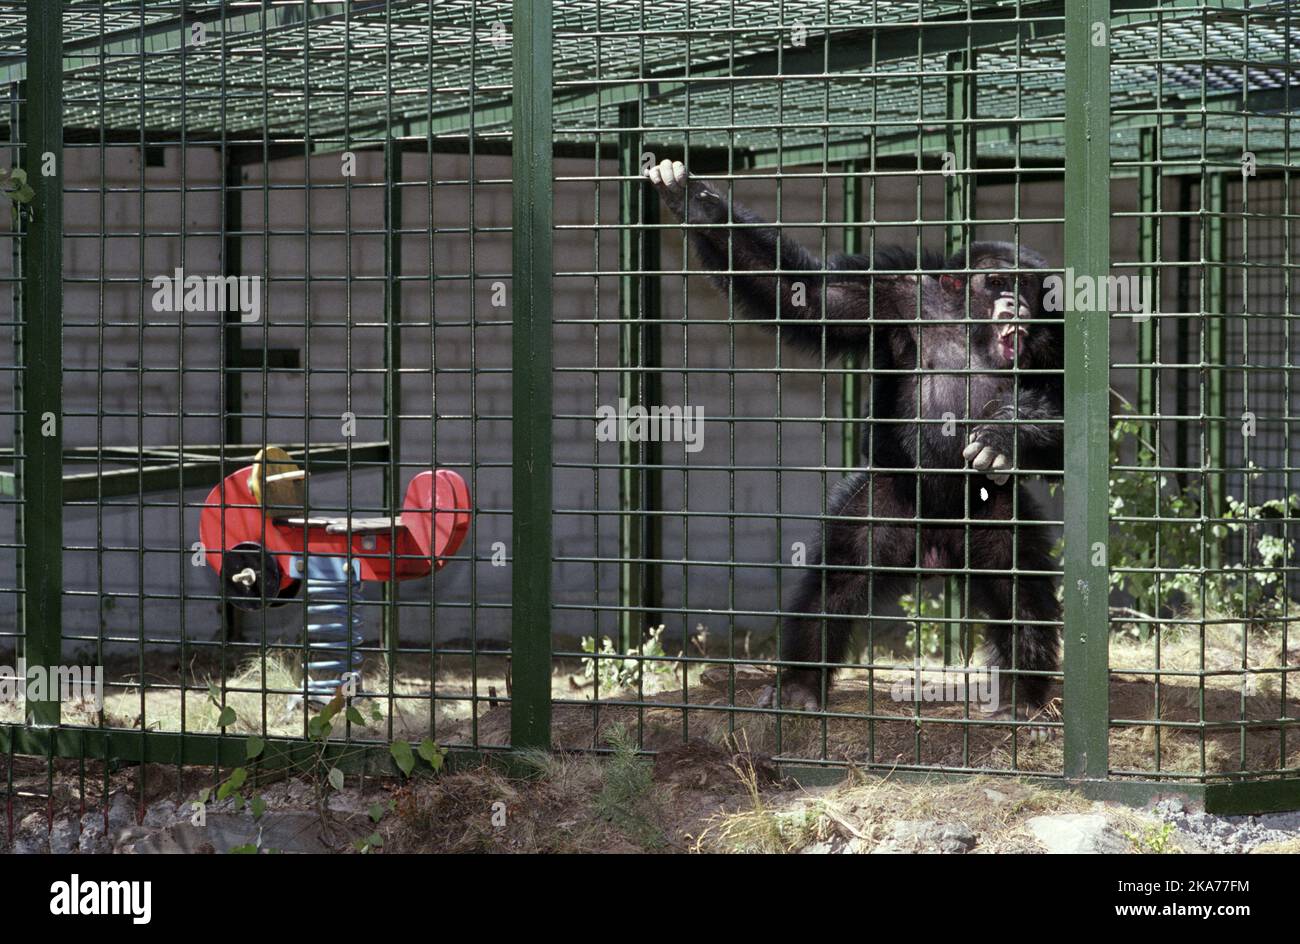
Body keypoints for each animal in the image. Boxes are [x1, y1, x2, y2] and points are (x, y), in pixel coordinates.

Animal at [644, 160, 1060, 717]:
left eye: (1024, 285)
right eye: (994, 280)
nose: (1013, 300)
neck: (969, 332)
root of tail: (937, 544)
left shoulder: (1052, 340)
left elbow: (1075, 410)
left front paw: (1004, 433)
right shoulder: (895, 293)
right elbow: (812, 297)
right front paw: (694, 202)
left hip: (993, 512)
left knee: (1021, 586)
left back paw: (1023, 698)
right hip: (882, 504)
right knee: (837, 577)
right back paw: (800, 683)